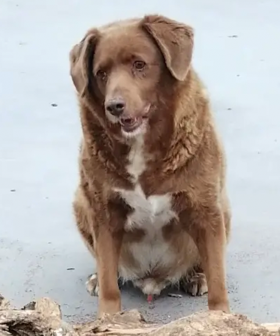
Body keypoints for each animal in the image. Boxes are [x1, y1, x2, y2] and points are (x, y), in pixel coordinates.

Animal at [69, 13, 231, 318]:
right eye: (101, 73)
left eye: (139, 65)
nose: (114, 106)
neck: (141, 144)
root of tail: (152, 278)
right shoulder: (104, 212)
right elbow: (109, 280)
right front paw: (108, 317)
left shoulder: (205, 209)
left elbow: (218, 279)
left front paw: (221, 317)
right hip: (81, 202)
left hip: (223, 210)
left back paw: (196, 276)